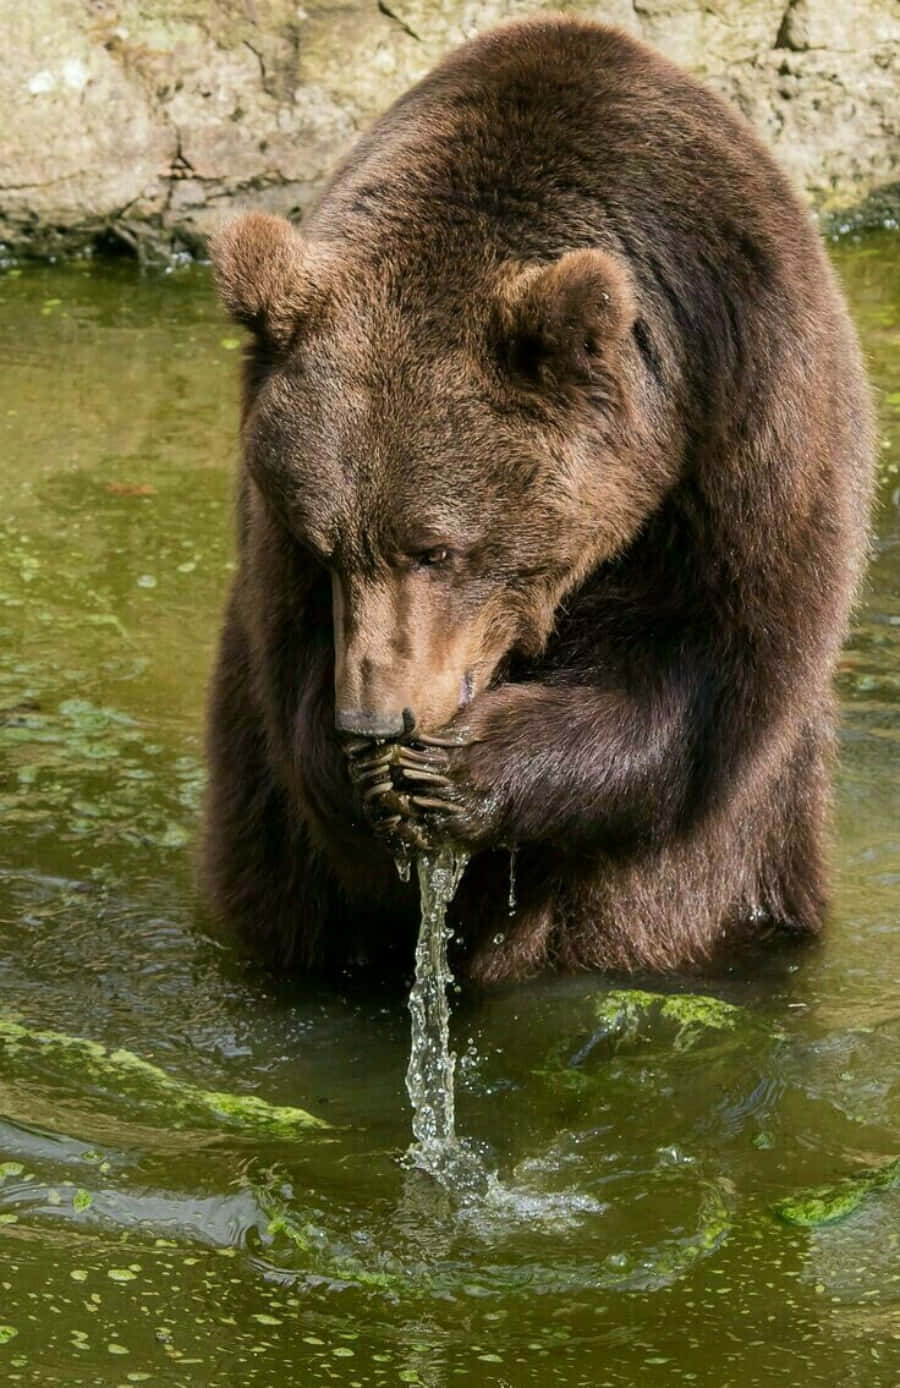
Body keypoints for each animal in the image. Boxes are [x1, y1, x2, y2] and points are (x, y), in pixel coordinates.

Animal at [202, 15, 874, 985]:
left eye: (438, 548)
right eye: (325, 545)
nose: (374, 717)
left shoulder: (743, 419)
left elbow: (708, 681)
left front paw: (462, 769)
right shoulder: (273, 555)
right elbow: (288, 667)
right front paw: (367, 780)